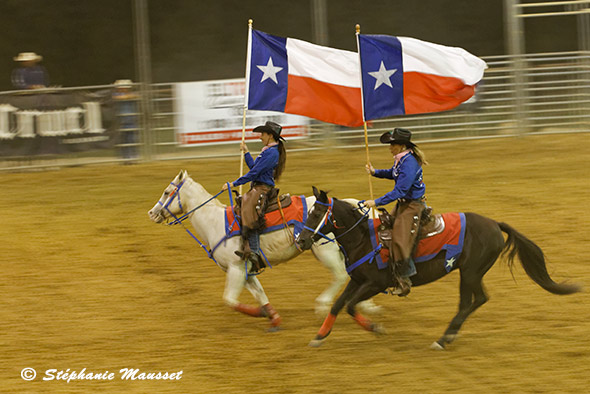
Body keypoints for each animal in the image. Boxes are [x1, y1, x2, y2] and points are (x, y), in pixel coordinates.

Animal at [148, 171, 380, 330]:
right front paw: (273, 317)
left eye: (167, 192)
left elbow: (230, 301)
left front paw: (261, 314)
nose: (152, 213)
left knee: (340, 275)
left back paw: (323, 305)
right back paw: (367, 305)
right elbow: (260, 295)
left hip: (326, 251)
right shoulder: (247, 270)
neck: (215, 222)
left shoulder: (236, 268)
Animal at [296, 189, 584, 350]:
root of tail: (494, 224)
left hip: (469, 272)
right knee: (478, 299)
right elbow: (338, 305)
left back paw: (443, 339)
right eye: (309, 211)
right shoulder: (356, 281)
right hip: (471, 273)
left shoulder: (374, 284)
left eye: (316, 213)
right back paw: (450, 335)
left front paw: (376, 328)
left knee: (470, 301)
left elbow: (350, 306)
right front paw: (319, 336)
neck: (364, 239)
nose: (300, 241)